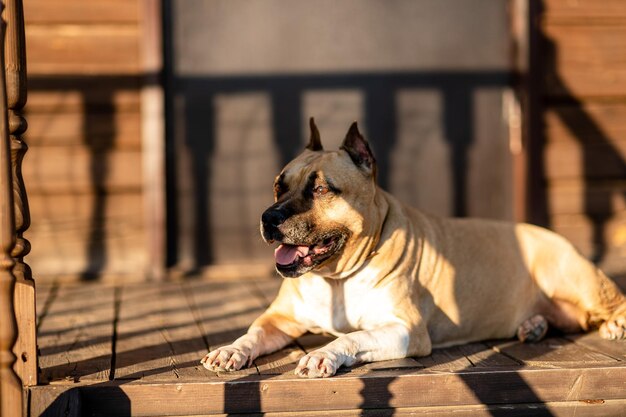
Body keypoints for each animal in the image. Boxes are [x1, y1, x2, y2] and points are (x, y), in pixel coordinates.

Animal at [200, 118, 624, 376]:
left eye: (320, 189)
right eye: (278, 185)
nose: (268, 217)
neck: (337, 278)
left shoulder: (404, 330)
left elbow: (353, 337)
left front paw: (322, 353)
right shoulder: (278, 318)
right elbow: (253, 333)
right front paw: (230, 349)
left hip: (571, 275)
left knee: (612, 300)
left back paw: (614, 324)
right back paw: (534, 325)